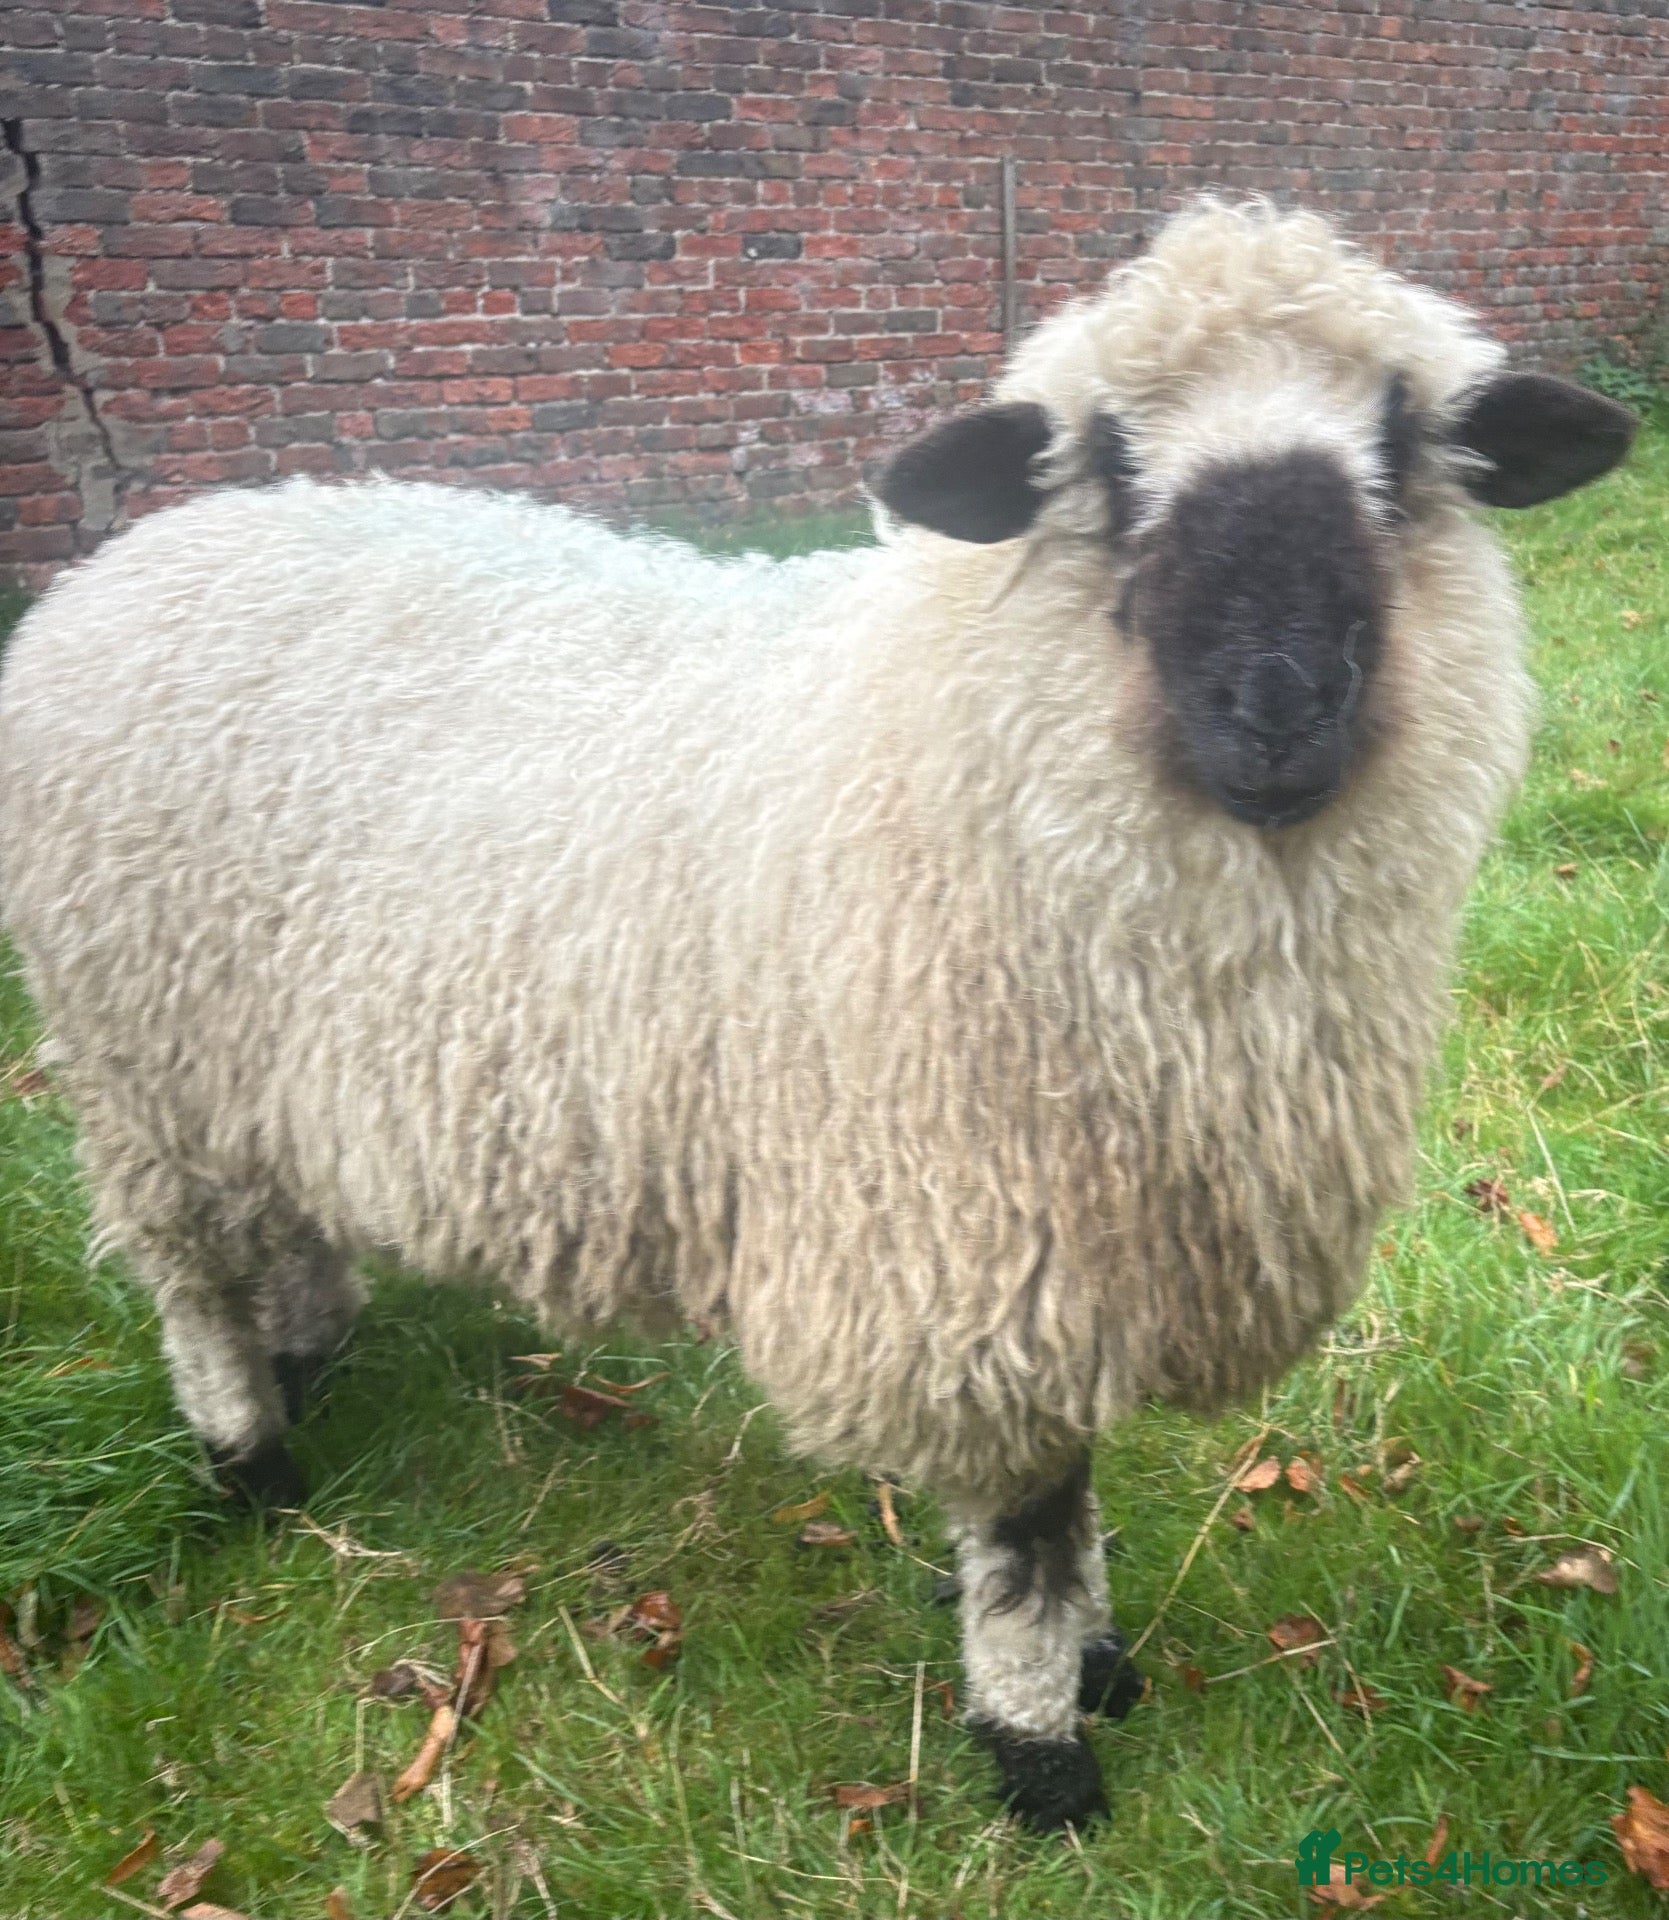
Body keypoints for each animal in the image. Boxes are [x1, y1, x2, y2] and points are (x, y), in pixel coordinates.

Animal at [0, 198, 1634, 1830]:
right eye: (1107, 466)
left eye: (1403, 447)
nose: (1283, 701)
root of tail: (144, 549)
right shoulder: (967, 1238)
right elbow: (1031, 1520)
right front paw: (1042, 1746)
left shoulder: (1087, 1239)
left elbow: (1074, 1492)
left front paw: (1094, 1663)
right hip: (143, 1054)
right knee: (189, 1276)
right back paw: (250, 1455)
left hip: (250, 1064)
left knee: (282, 1221)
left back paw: (308, 1349)